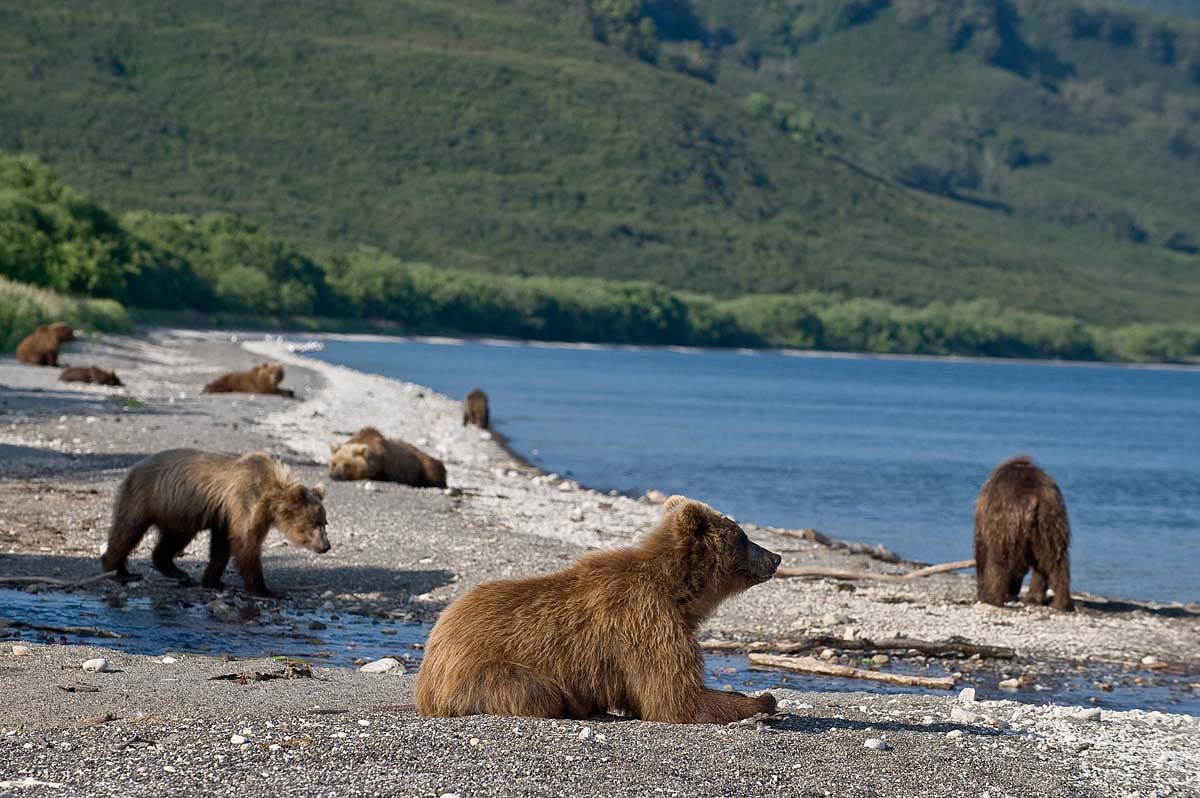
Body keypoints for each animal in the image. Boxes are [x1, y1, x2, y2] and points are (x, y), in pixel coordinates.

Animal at [100, 444, 328, 595]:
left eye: (324, 523)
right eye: (315, 523)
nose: (326, 546)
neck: (270, 496)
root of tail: (134, 467)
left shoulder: (226, 515)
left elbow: (222, 547)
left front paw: (213, 581)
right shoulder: (245, 503)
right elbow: (246, 545)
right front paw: (263, 589)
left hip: (177, 511)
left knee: (172, 540)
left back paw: (176, 572)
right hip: (147, 498)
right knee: (128, 531)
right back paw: (119, 570)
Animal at [417, 492, 782, 720]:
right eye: (743, 536)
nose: (776, 557)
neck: (678, 590)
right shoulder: (646, 621)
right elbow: (676, 699)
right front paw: (764, 700)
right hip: (482, 670)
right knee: (538, 691)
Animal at [974, 453, 1080, 609]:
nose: (1013, 591)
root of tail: (1034, 496)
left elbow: (981, 549)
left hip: (1007, 518)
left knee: (1000, 557)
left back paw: (992, 598)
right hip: (1050, 519)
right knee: (1056, 559)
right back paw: (1058, 602)